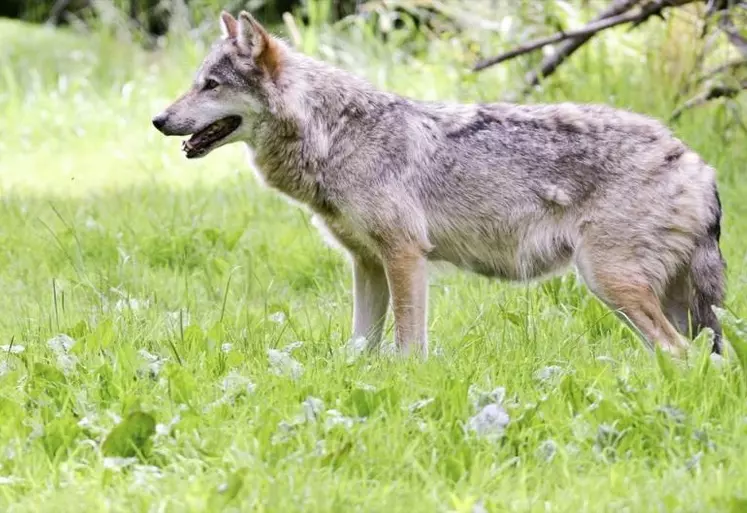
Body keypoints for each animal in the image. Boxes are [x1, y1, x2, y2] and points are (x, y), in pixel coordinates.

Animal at [153, 11, 732, 356]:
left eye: (211, 85)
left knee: (680, 355)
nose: (158, 120)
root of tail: (697, 162)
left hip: (610, 284)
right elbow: (359, 346)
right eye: (196, 82)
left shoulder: (404, 255)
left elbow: (409, 344)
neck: (334, 135)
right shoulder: (366, 264)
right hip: (656, 299)